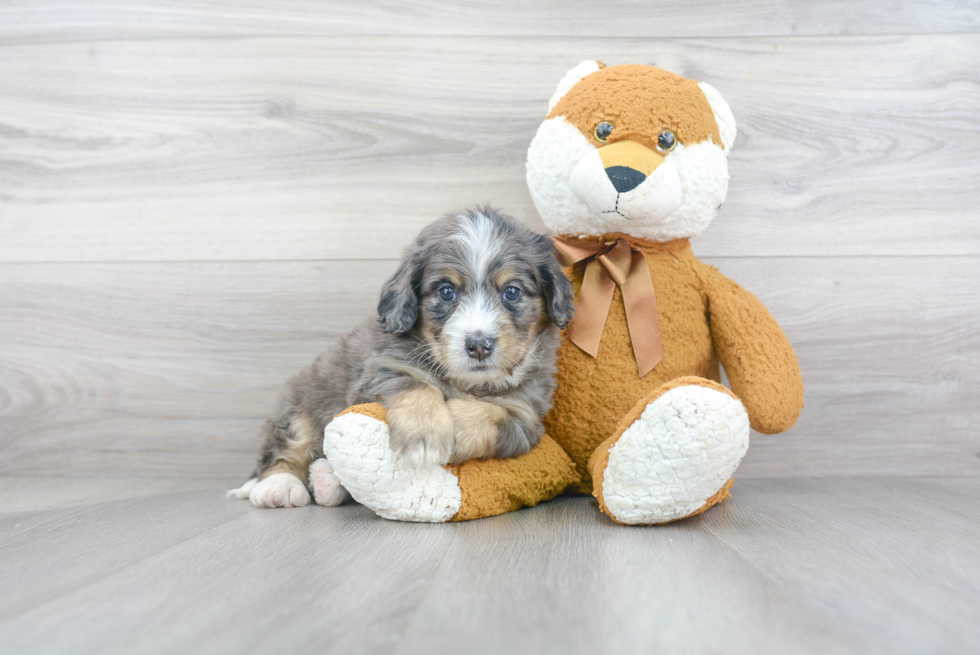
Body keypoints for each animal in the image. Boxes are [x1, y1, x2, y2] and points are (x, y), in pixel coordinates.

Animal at [232, 205, 576, 508]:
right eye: (447, 291)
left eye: (512, 292)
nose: (479, 345)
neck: (464, 382)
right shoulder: (382, 369)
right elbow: (417, 386)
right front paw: (425, 434)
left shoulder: (526, 418)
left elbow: (490, 414)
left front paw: (454, 426)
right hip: (299, 403)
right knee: (285, 449)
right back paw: (279, 487)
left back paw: (326, 481)